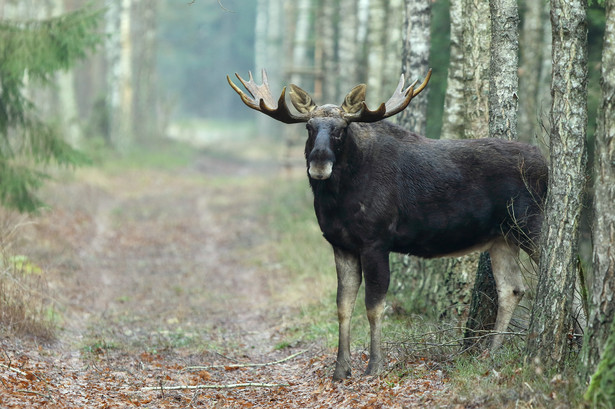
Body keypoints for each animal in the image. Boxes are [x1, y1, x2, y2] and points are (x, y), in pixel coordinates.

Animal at [227, 69, 548, 380]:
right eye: (309, 127)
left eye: (341, 130)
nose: (319, 163)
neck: (339, 201)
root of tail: (547, 164)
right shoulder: (341, 244)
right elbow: (343, 306)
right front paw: (340, 369)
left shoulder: (376, 241)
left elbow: (373, 307)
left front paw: (374, 366)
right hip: (502, 238)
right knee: (512, 289)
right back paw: (490, 353)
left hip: (532, 225)